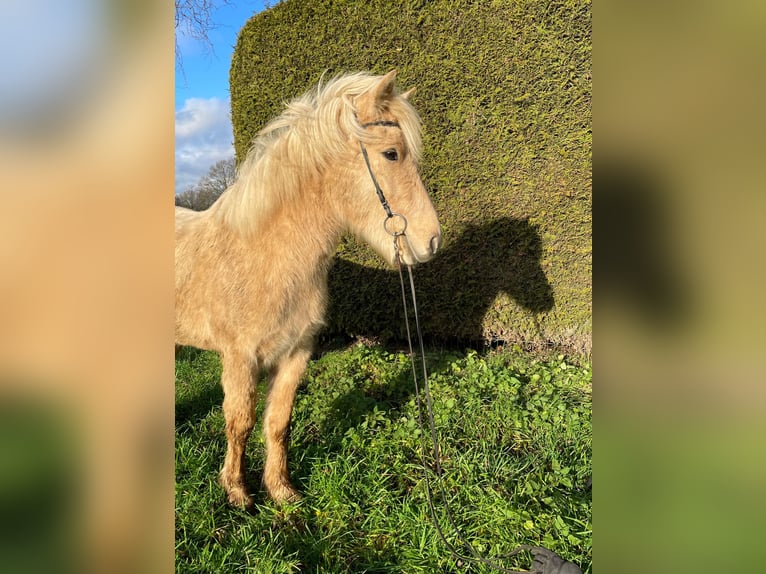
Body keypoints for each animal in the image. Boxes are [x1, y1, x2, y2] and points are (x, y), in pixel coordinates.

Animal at [175, 71, 442, 507]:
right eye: (391, 154)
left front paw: (280, 490)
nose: (432, 241)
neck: (265, 254)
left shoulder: (295, 354)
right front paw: (237, 491)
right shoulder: (239, 358)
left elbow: (278, 422)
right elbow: (240, 422)